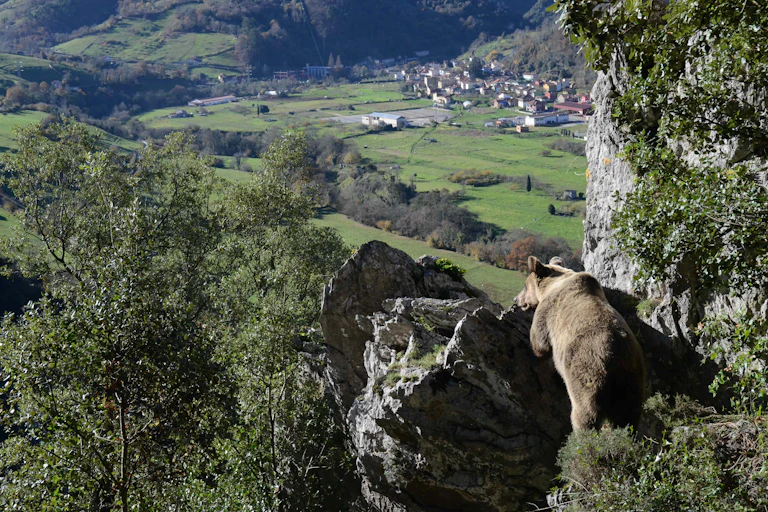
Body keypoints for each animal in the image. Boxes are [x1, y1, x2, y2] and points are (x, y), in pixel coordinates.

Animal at [515, 256, 646, 431]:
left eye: (524, 286)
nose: (517, 299)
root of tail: (618, 358)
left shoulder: (548, 311)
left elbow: (540, 341)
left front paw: (531, 348)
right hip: (633, 381)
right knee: (628, 416)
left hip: (587, 369)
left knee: (585, 411)